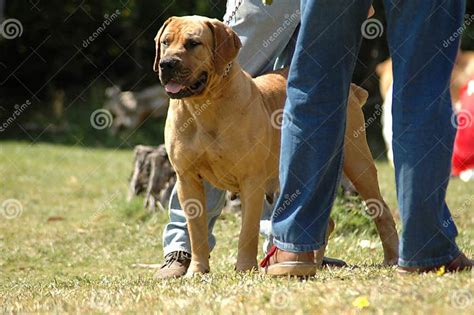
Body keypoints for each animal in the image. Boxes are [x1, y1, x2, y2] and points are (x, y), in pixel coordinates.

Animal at [154, 16, 398, 276]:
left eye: (193, 43)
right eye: (166, 42)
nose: (166, 64)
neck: (204, 106)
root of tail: (351, 89)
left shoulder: (251, 181)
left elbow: (247, 232)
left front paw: (244, 268)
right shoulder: (188, 179)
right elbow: (196, 230)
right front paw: (197, 270)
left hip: (358, 164)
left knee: (381, 211)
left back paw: (391, 258)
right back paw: (310, 262)